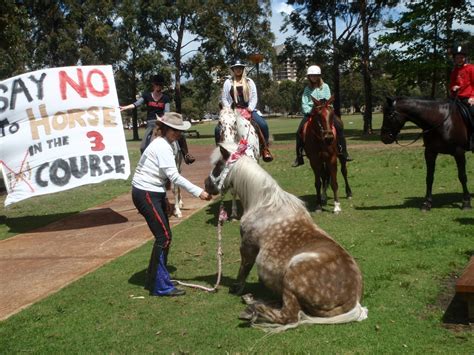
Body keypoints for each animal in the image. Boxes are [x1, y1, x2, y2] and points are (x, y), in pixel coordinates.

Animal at [204, 143, 366, 332]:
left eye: (218, 166)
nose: (206, 185)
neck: (263, 204)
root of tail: (353, 301)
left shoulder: (247, 247)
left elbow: (243, 269)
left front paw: (236, 289)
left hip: (291, 278)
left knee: (289, 315)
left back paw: (253, 310)